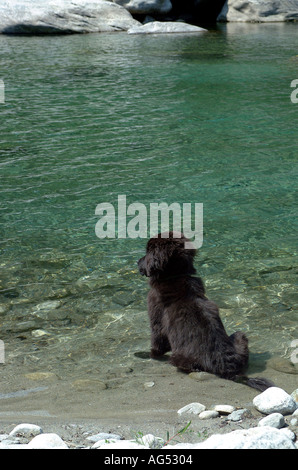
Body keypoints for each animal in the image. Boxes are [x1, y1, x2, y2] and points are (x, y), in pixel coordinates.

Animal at [139, 232, 274, 392]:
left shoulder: (157, 319)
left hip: (179, 358)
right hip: (240, 337)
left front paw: (146, 354)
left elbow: (157, 344)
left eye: (147, 252)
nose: (138, 262)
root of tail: (228, 369)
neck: (176, 276)